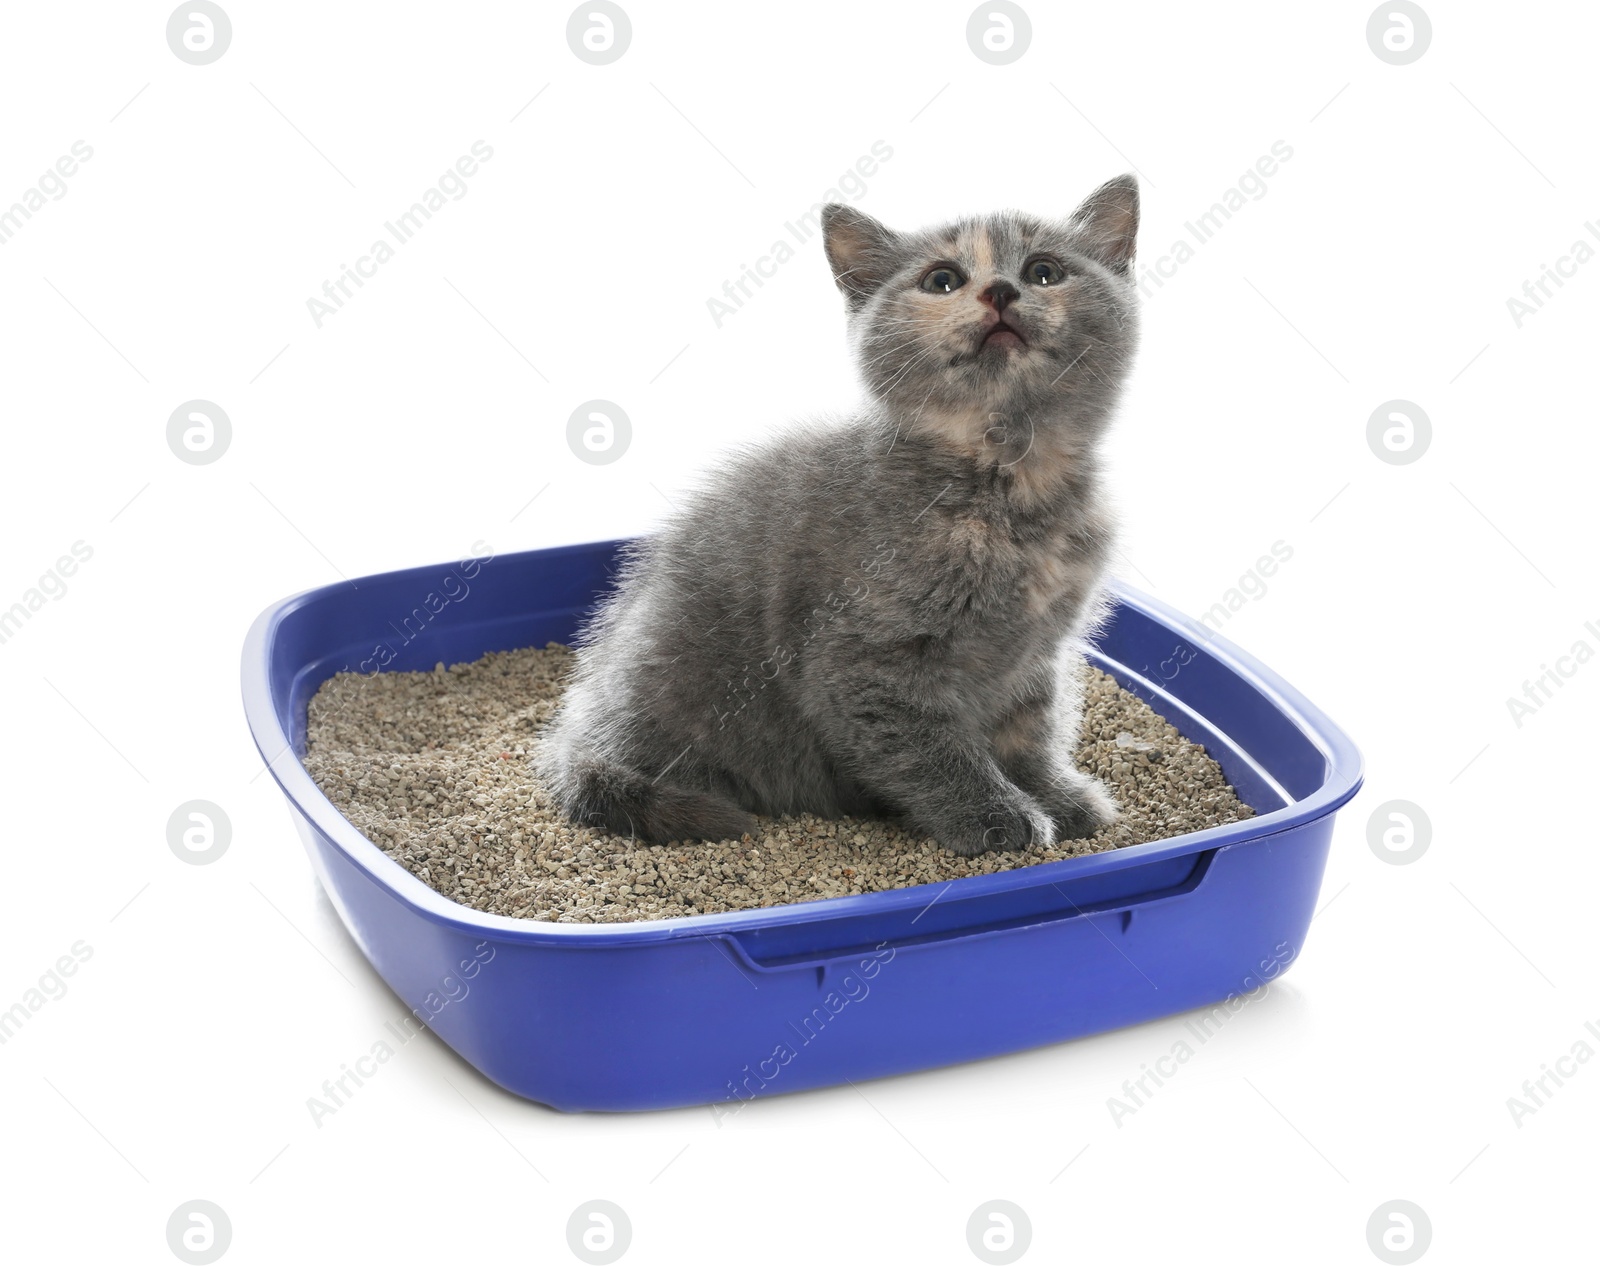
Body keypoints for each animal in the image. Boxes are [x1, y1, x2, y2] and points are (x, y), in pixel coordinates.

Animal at [537, 173, 1139, 857]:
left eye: (1044, 272)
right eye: (942, 280)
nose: (1000, 291)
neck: (1014, 482)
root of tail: (575, 734)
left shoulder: (1038, 653)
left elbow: (1029, 733)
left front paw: (1059, 796)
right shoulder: (860, 663)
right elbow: (934, 751)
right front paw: (999, 817)